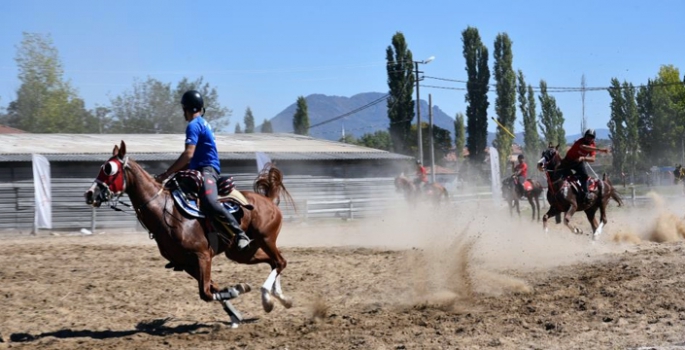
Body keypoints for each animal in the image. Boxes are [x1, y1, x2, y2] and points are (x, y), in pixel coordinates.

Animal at [83, 141, 292, 326]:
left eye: (109, 169)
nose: (89, 194)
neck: (166, 211)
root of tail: (268, 200)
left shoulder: (202, 256)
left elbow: (206, 292)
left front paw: (237, 290)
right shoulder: (186, 264)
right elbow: (212, 288)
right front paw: (234, 313)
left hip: (265, 239)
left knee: (280, 262)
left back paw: (268, 298)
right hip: (242, 253)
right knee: (273, 263)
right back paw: (279, 299)